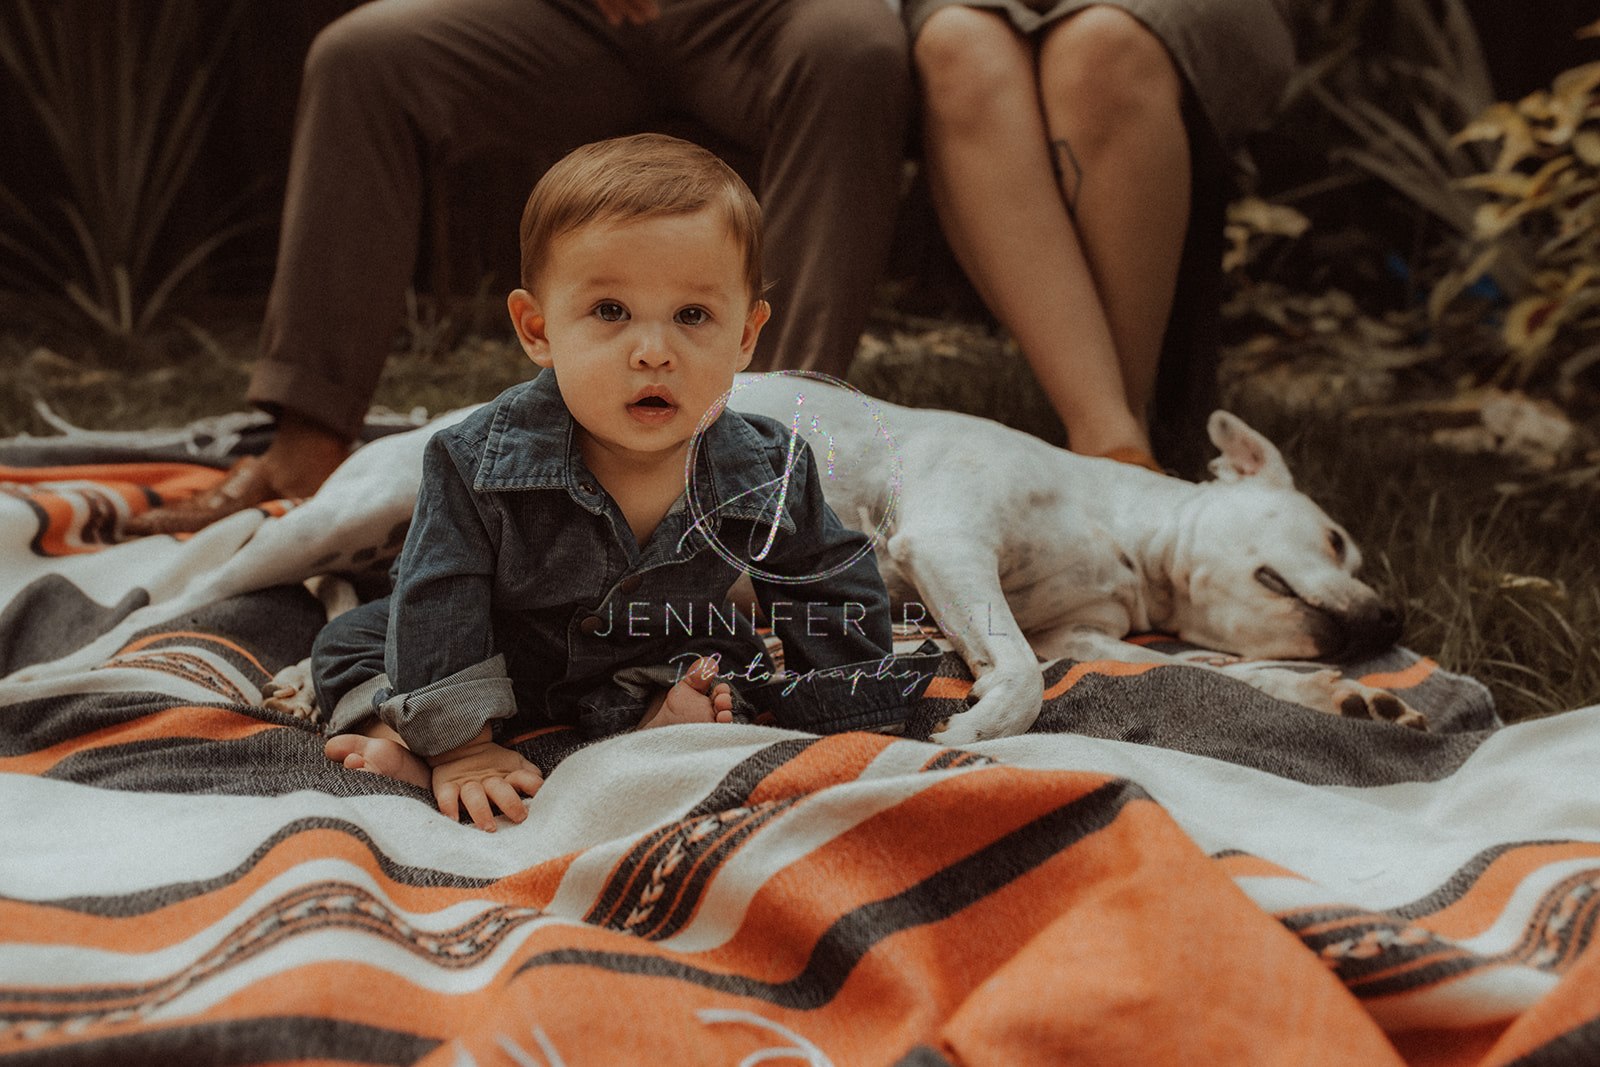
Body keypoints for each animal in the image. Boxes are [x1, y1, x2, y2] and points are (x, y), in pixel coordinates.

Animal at [732, 374, 1420, 742]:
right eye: (1336, 542)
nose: (1392, 620)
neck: (1127, 540)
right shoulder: (951, 542)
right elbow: (1024, 674)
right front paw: (982, 728)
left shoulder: (1075, 635)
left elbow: (1203, 668)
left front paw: (1333, 696)